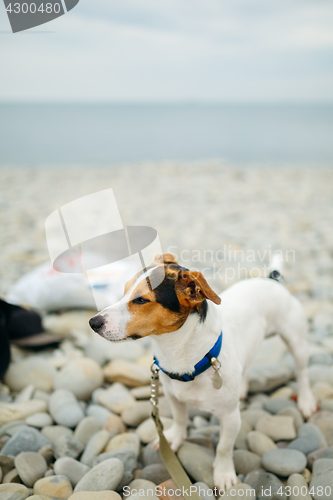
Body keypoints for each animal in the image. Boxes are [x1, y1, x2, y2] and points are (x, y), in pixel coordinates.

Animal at [89, 254, 316, 492]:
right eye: (124, 291)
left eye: (141, 300)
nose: (93, 322)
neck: (185, 357)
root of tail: (272, 280)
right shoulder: (172, 396)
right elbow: (180, 419)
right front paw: (174, 439)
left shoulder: (231, 418)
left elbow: (224, 448)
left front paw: (224, 474)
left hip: (296, 342)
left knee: (302, 372)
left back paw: (306, 401)